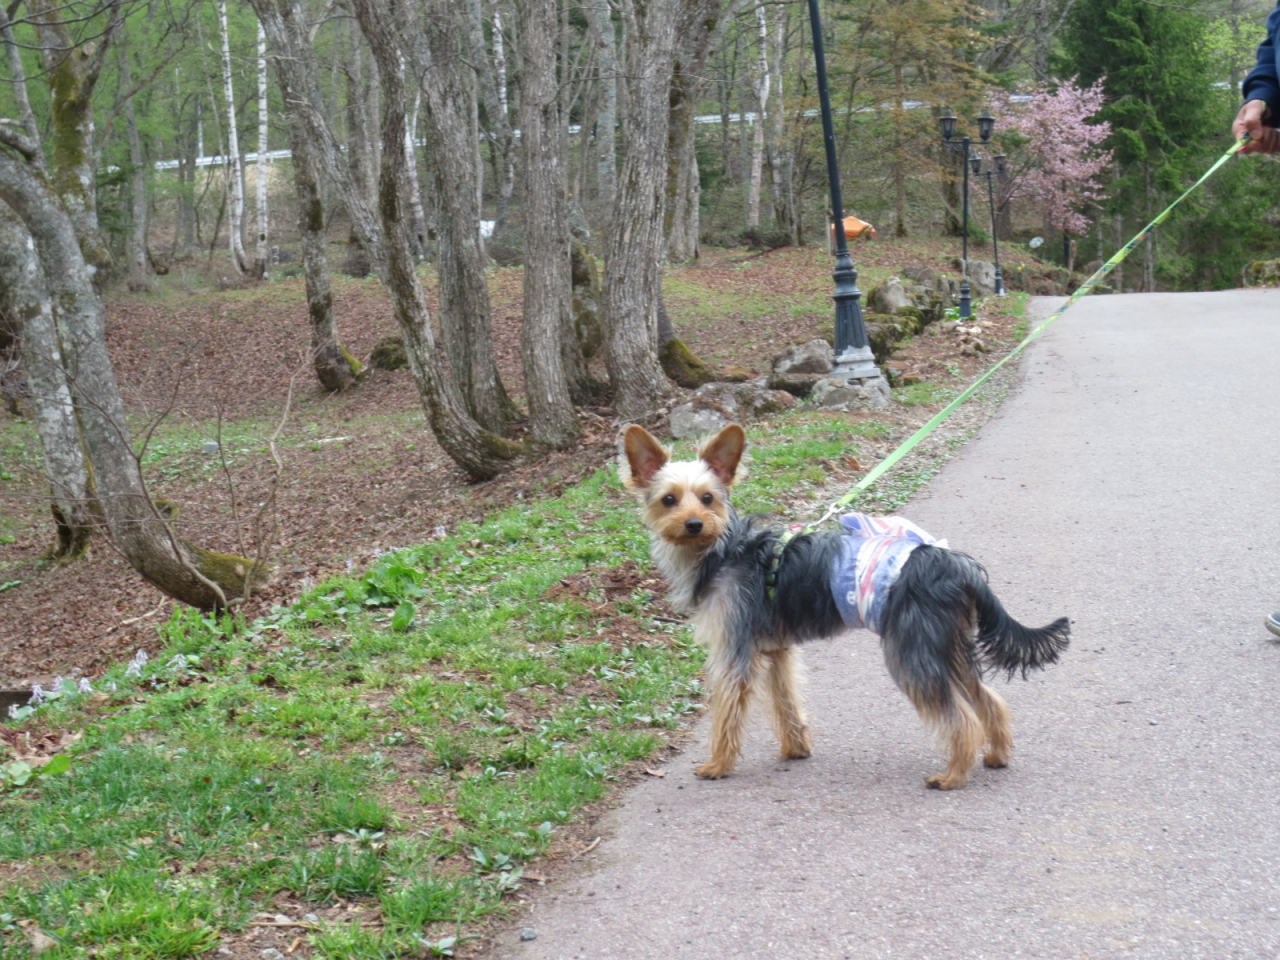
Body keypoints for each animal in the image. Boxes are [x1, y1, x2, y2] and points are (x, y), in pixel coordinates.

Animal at [622, 424, 1070, 793]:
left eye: (708, 498)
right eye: (668, 500)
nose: (694, 523)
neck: (723, 550)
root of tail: (955, 564)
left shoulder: (735, 653)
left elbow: (727, 712)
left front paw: (718, 764)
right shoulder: (776, 650)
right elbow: (786, 701)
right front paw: (796, 748)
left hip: (912, 650)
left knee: (961, 718)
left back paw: (954, 775)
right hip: (944, 645)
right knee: (987, 701)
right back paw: (996, 755)